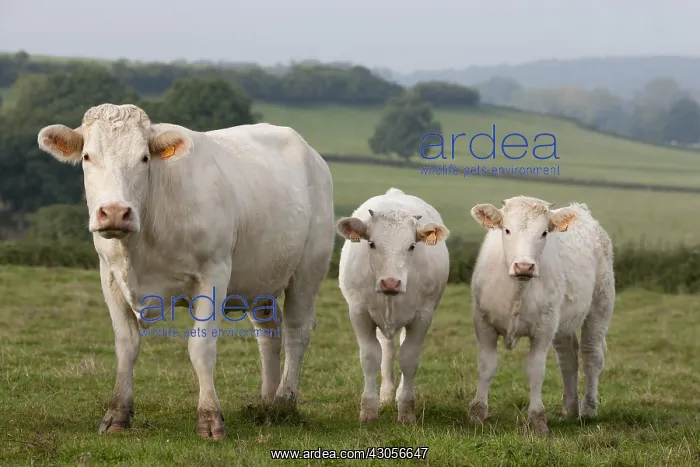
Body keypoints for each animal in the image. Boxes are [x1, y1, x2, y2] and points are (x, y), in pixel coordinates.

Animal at [36, 103, 335, 439]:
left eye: (144, 157)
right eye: (87, 156)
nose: (114, 212)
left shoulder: (214, 273)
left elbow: (201, 346)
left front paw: (209, 418)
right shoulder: (109, 276)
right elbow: (126, 345)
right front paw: (117, 415)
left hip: (309, 268)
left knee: (297, 329)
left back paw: (285, 401)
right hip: (262, 277)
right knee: (269, 330)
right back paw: (266, 404)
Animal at [335, 187, 450, 423]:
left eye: (412, 246)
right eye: (371, 243)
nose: (390, 282)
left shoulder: (423, 316)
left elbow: (409, 358)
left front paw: (406, 410)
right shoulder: (359, 312)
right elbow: (370, 356)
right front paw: (369, 409)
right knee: (387, 350)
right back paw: (387, 394)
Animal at [467, 195, 615, 435]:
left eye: (544, 232)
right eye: (507, 230)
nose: (524, 266)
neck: (518, 289)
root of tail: (580, 210)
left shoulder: (543, 330)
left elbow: (535, 371)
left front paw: (537, 419)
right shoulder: (484, 324)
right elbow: (487, 366)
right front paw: (477, 413)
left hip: (599, 309)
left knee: (591, 357)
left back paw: (588, 409)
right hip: (562, 322)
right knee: (568, 358)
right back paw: (570, 409)